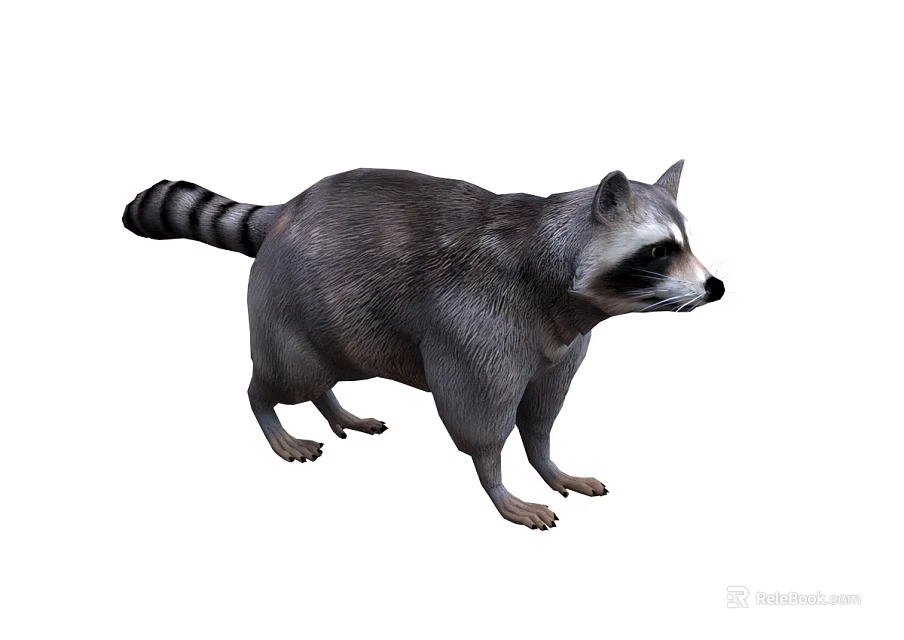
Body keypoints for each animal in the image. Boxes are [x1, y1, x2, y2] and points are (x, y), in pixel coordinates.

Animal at [122, 161, 723, 529]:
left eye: (686, 244)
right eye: (658, 251)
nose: (715, 287)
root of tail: (290, 206)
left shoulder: (559, 346)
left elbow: (541, 415)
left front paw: (548, 463)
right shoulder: (478, 320)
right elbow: (478, 419)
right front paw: (497, 484)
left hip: (342, 325)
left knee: (324, 373)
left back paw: (335, 407)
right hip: (288, 294)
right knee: (284, 376)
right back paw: (270, 414)